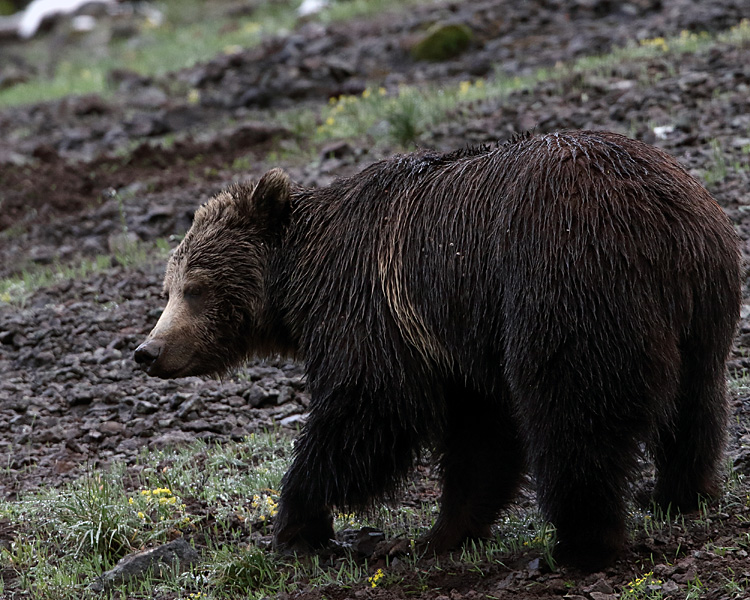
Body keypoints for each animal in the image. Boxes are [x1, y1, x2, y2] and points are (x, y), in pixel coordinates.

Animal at [137, 129, 748, 568]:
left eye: (195, 288)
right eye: (169, 287)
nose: (148, 350)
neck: (300, 279)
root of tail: (661, 218)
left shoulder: (375, 309)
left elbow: (368, 407)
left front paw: (299, 522)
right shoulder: (455, 340)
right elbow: (481, 438)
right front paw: (442, 533)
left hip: (564, 279)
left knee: (574, 414)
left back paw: (582, 543)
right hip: (704, 302)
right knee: (696, 402)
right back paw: (678, 495)